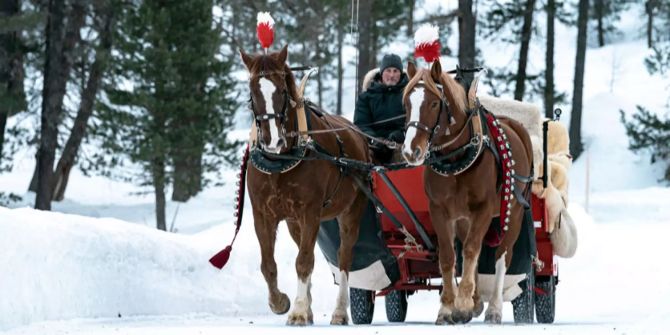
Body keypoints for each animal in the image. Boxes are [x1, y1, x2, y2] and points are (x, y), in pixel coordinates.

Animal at [239, 46, 370, 326]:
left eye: (282, 90)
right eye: (253, 91)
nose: (272, 140)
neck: (280, 160)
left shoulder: (309, 212)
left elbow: (304, 261)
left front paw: (298, 310)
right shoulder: (263, 214)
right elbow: (269, 264)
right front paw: (281, 302)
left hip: (350, 212)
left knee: (344, 257)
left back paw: (339, 312)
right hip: (293, 222)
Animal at [402, 61, 532, 326]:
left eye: (434, 103)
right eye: (407, 103)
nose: (411, 151)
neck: (456, 157)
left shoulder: (483, 209)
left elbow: (472, 250)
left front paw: (461, 304)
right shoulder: (440, 210)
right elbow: (449, 256)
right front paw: (447, 308)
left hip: (512, 212)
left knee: (502, 256)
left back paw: (493, 308)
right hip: (464, 217)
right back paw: (476, 301)